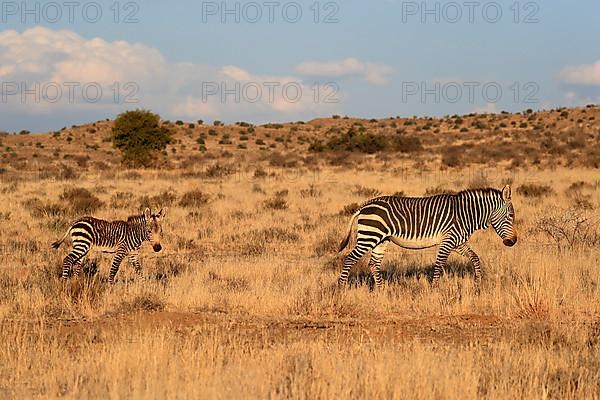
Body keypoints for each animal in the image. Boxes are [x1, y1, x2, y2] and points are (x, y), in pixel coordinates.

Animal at [340, 185, 516, 288]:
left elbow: (475, 258)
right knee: (349, 259)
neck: (465, 214)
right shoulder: (448, 241)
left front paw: (477, 284)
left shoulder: (457, 242)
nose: (513, 241)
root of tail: (363, 206)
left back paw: (381, 290)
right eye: (511, 216)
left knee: (373, 264)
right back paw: (341, 288)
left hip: (381, 240)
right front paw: (435, 289)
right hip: (369, 236)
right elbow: (439, 264)